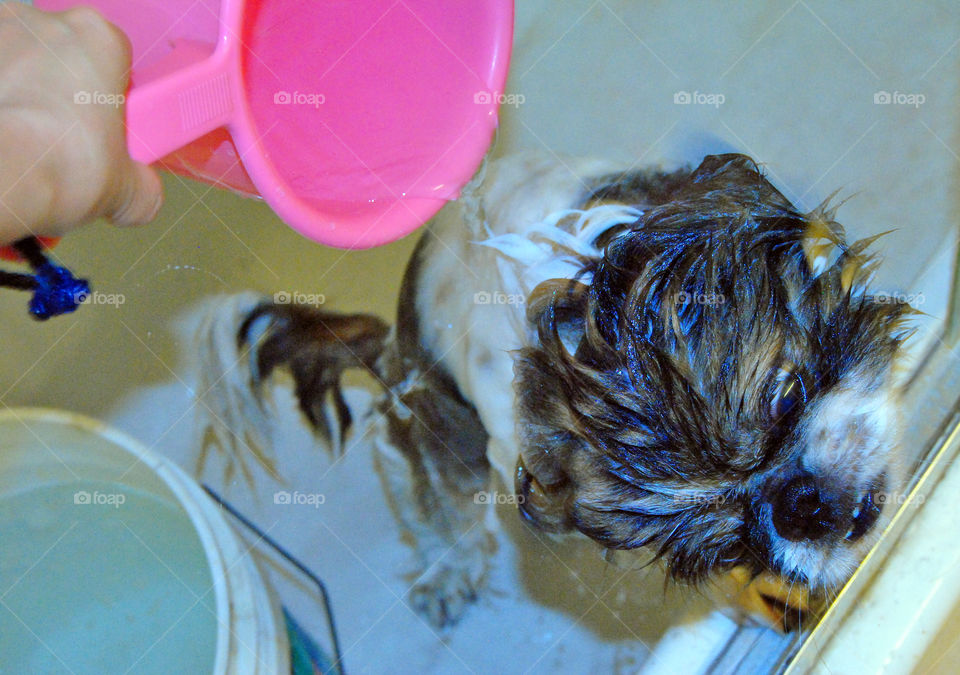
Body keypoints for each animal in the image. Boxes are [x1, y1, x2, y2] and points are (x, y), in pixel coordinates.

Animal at [199, 152, 912, 628]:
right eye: (726, 536)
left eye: (787, 398)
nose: (801, 505)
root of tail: (394, 338)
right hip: (435, 426)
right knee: (424, 487)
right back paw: (447, 569)